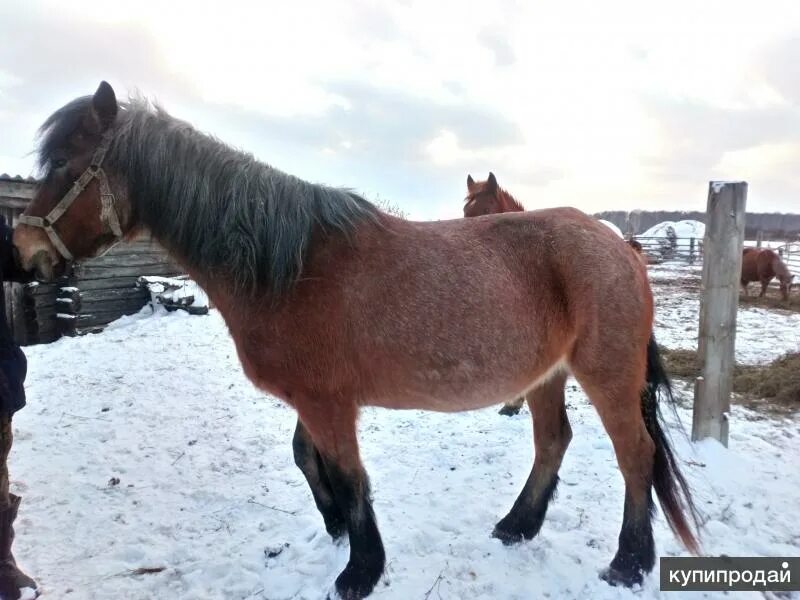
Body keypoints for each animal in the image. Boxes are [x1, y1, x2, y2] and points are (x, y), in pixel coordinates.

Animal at [15, 83, 696, 600]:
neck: (289, 266)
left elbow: (348, 474)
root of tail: (621, 245)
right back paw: (516, 526)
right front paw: (337, 528)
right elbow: (306, 457)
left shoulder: (327, 403)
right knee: (553, 441)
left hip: (606, 374)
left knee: (635, 455)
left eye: (67, 165)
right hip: (546, 375)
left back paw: (628, 563)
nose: (21, 251)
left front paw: (359, 569)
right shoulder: (315, 400)